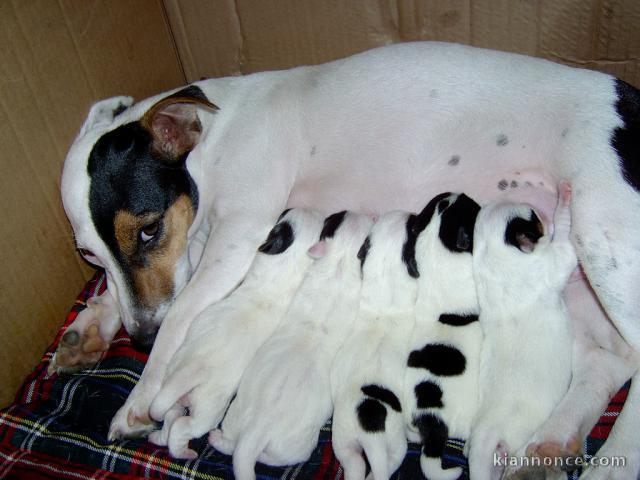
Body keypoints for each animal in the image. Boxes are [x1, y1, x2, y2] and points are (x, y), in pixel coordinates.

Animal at [147, 208, 322, 460]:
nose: (288, 207)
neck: (281, 272)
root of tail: (193, 370)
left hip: (173, 388)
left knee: (171, 418)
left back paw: (161, 439)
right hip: (209, 409)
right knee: (184, 427)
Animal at [208, 212, 372, 480]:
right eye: (340, 216)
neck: (340, 260)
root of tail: (259, 427)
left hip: (236, 417)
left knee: (233, 445)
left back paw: (216, 439)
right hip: (299, 447)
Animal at [330, 211, 420, 480]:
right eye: (414, 228)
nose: (413, 213)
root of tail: (370, 431)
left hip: (343, 441)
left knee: (355, 465)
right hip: (395, 444)